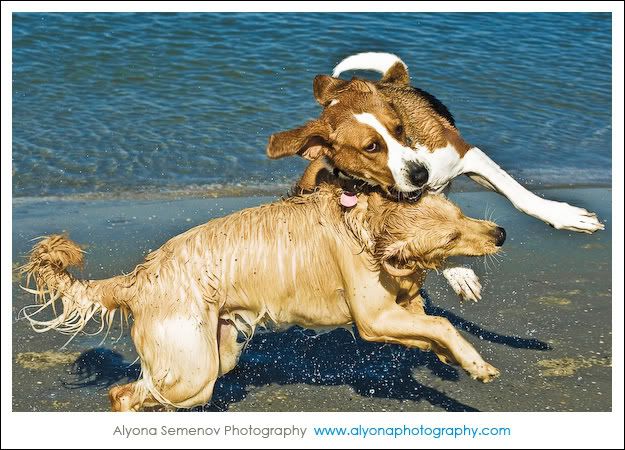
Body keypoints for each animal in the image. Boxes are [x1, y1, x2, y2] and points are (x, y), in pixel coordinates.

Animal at [22, 185, 504, 412]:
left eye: (460, 214)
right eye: (451, 236)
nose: (500, 232)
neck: (367, 229)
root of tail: (138, 277)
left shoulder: (399, 308)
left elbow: (428, 325)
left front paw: (448, 357)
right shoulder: (372, 319)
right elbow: (441, 323)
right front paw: (476, 363)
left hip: (216, 354)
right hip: (192, 374)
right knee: (122, 394)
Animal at [266, 52, 604, 234]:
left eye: (399, 128)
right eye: (371, 147)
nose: (421, 175)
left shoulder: (470, 157)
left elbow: (520, 196)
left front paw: (566, 216)